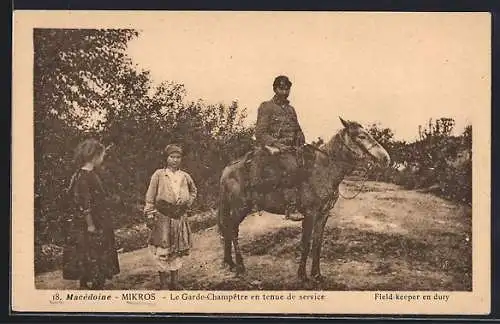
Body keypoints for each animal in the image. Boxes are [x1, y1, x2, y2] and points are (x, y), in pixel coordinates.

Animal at [217, 116, 392, 280]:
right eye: (362, 136)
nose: (386, 158)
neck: (323, 169)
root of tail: (227, 169)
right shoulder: (310, 214)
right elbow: (306, 244)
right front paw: (302, 274)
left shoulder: (323, 214)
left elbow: (317, 244)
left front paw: (317, 274)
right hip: (240, 208)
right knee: (232, 229)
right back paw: (240, 266)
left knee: (227, 228)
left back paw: (230, 263)